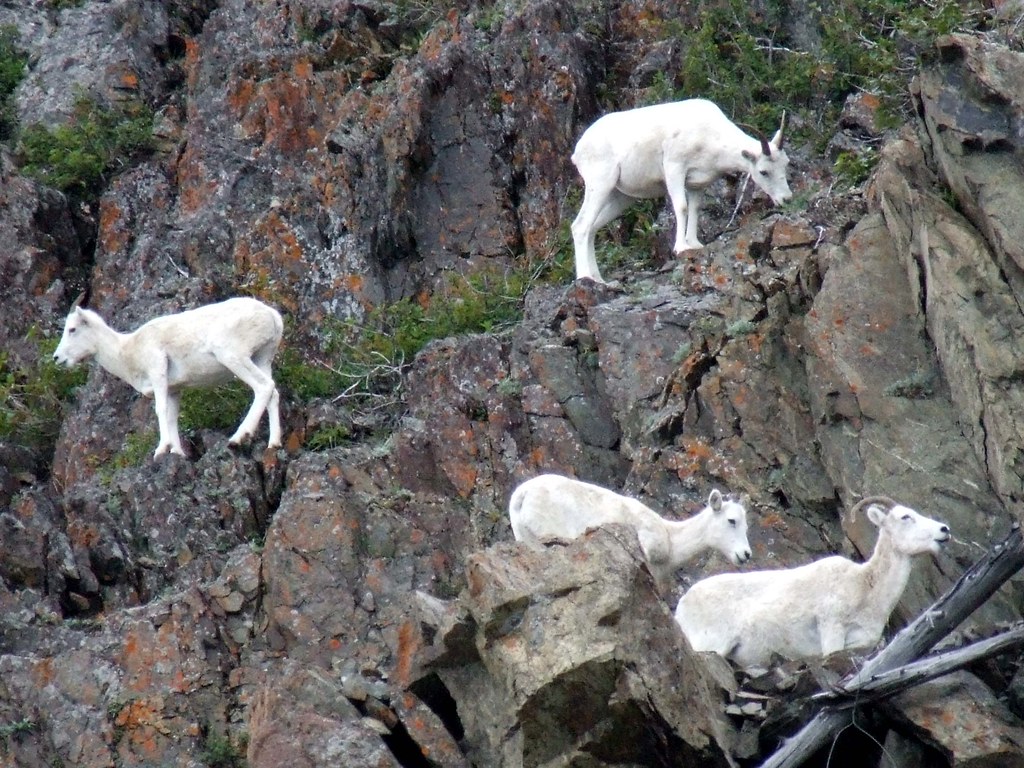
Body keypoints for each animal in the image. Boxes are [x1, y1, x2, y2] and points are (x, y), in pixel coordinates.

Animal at [53, 293, 284, 459]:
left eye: (72, 329)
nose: (57, 358)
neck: (126, 350)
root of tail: (272, 316)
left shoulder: (158, 372)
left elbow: (160, 410)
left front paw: (161, 450)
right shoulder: (174, 389)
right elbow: (173, 416)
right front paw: (177, 452)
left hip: (233, 356)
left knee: (263, 387)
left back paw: (239, 438)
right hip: (262, 358)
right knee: (273, 392)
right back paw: (273, 444)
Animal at [570, 98, 792, 283]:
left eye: (786, 164)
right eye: (764, 171)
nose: (787, 199)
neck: (710, 135)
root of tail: (578, 150)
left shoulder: (697, 185)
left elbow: (694, 209)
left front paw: (694, 244)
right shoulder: (675, 169)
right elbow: (682, 207)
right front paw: (681, 248)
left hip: (620, 197)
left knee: (592, 228)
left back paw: (598, 280)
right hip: (600, 185)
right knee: (580, 226)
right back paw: (585, 277)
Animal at [673, 497, 951, 670]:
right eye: (905, 517)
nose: (944, 530)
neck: (867, 588)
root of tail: (682, 606)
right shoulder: (832, 629)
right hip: (711, 645)